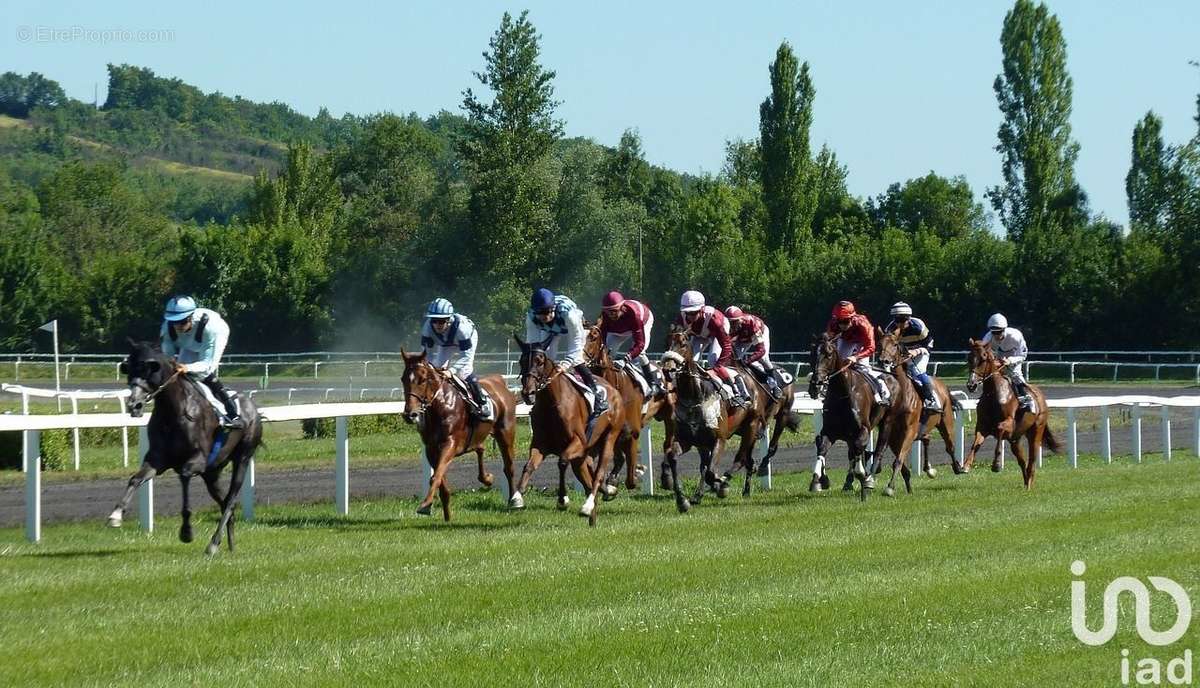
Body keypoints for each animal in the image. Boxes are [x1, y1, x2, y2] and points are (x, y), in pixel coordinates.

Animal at [107, 340, 262, 554]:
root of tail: (254, 409)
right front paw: (116, 515)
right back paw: (229, 544)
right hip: (212, 473)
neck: (174, 412)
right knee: (225, 503)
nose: (134, 405)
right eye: (129, 369)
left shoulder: (196, 461)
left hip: (243, 458)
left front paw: (187, 531)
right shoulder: (157, 459)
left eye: (149, 370)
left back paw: (213, 544)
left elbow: (185, 478)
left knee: (231, 500)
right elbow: (135, 479)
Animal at [400, 350, 518, 518]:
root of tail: (499, 381)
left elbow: (435, 477)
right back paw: (487, 478)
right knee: (480, 448)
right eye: (403, 379)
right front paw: (446, 513)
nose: (410, 414)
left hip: (505, 432)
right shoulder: (431, 448)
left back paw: (515, 499)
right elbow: (440, 479)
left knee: (509, 466)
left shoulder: (450, 443)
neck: (441, 406)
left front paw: (425, 504)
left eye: (422, 380)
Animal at [508, 336, 628, 523]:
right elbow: (529, 466)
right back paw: (602, 496)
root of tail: (613, 390)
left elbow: (562, 461)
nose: (528, 393)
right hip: (585, 454)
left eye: (540, 361)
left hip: (609, 437)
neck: (551, 403)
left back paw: (588, 505)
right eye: (522, 361)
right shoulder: (540, 444)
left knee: (599, 473)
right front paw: (517, 497)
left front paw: (562, 499)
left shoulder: (577, 442)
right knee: (589, 476)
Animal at [873, 328, 955, 477]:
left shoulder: (910, 430)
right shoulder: (891, 430)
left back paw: (958, 467)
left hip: (946, 421)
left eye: (895, 344)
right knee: (927, 438)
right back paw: (929, 468)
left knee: (950, 445)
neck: (902, 395)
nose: (883, 361)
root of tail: (942, 385)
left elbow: (898, 460)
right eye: (879, 343)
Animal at [964, 338, 1060, 487]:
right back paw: (1026, 483)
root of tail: (1041, 397)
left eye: (983, 358)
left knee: (1032, 461)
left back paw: (1029, 484)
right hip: (1016, 439)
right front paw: (965, 466)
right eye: (969, 357)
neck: (993, 394)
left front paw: (997, 465)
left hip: (1036, 430)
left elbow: (999, 428)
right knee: (1022, 461)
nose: (971, 385)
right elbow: (976, 444)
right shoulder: (982, 426)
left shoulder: (1008, 424)